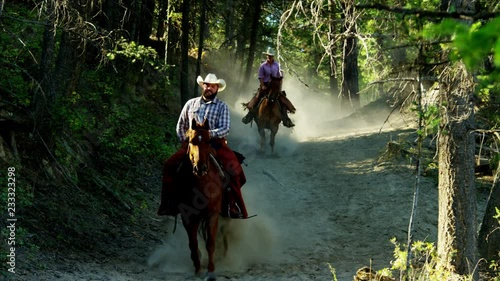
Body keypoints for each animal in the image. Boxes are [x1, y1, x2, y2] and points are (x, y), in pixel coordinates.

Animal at [176, 117, 223, 280]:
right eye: (191, 141)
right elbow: (193, 243)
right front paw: (197, 269)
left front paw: (211, 271)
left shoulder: (212, 214)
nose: (200, 168)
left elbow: (211, 243)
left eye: (208, 141)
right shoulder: (188, 216)